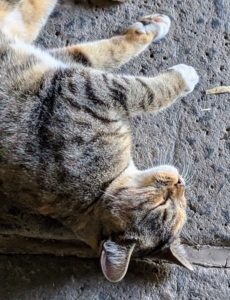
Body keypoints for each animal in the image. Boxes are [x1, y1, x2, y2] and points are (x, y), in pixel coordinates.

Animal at [0, 0, 199, 282]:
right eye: (164, 203)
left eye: (183, 203)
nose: (180, 182)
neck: (101, 188)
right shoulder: (91, 88)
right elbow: (146, 90)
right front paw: (184, 76)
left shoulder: (70, 71)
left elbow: (95, 53)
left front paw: (148, 30)